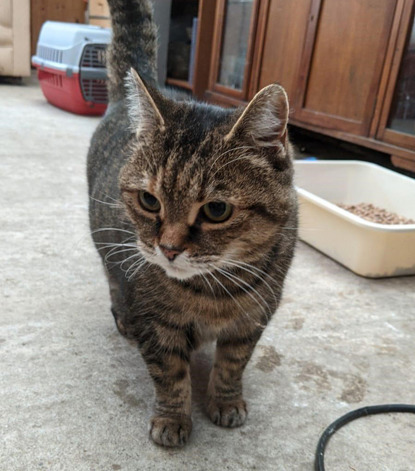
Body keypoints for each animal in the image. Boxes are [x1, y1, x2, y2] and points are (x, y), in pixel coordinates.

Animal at [88, 0, 298, 448]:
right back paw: (122, 318)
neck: (212, 293)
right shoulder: (157, 324)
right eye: (149, 201)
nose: (167, 249)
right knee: (113, 278)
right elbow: (170, 375)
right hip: (109, 251)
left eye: (216, 210)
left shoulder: (253, 319)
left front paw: (226, 401)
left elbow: (233, 364)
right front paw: (172, 419)